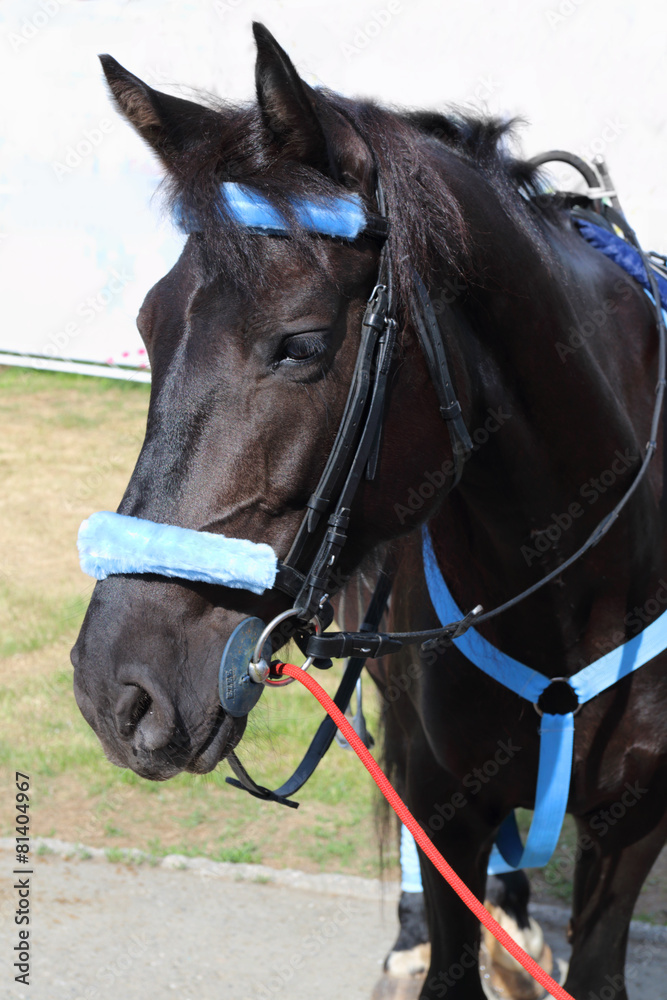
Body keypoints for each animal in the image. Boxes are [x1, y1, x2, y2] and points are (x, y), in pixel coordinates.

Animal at [71, 23, 667, 1000]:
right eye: (149, 328)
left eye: (302, 343)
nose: (115, 691)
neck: (583, 574)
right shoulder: (439, 795)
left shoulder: (632, 826)